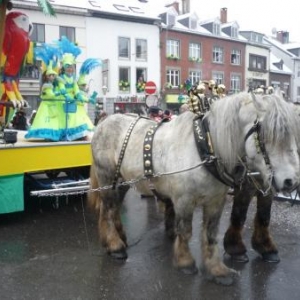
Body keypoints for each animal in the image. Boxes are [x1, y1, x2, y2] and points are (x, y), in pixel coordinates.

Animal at [88, 92, 298, 286]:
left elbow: (211, 233)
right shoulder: (184, 200)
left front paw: (216, 269)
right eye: (266, 134)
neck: (206, 147)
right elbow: (185, 231)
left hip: (122, 181)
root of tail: (104, 122)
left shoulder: (216, 201)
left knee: (112, 208)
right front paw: (185, 262)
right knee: (108, 209)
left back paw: (117, 239)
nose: (291, 181)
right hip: (107, 176)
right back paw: (115, 246)